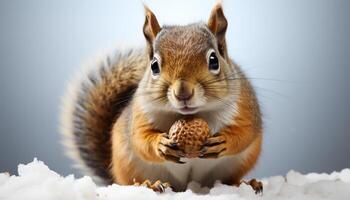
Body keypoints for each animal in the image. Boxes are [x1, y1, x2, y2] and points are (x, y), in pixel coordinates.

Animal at [60, 1, 262, 192]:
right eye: (154, 65)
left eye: (214, 60)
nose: (183, 92)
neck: (191, 115)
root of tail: (187, 186)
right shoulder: (140, 113)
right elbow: (140, 138)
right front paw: (160, 145)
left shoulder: (243, 106)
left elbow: (246, 132)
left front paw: (223, 142)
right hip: (127, 165)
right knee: (132, 181)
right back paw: (149, 185)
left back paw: (245, 184)